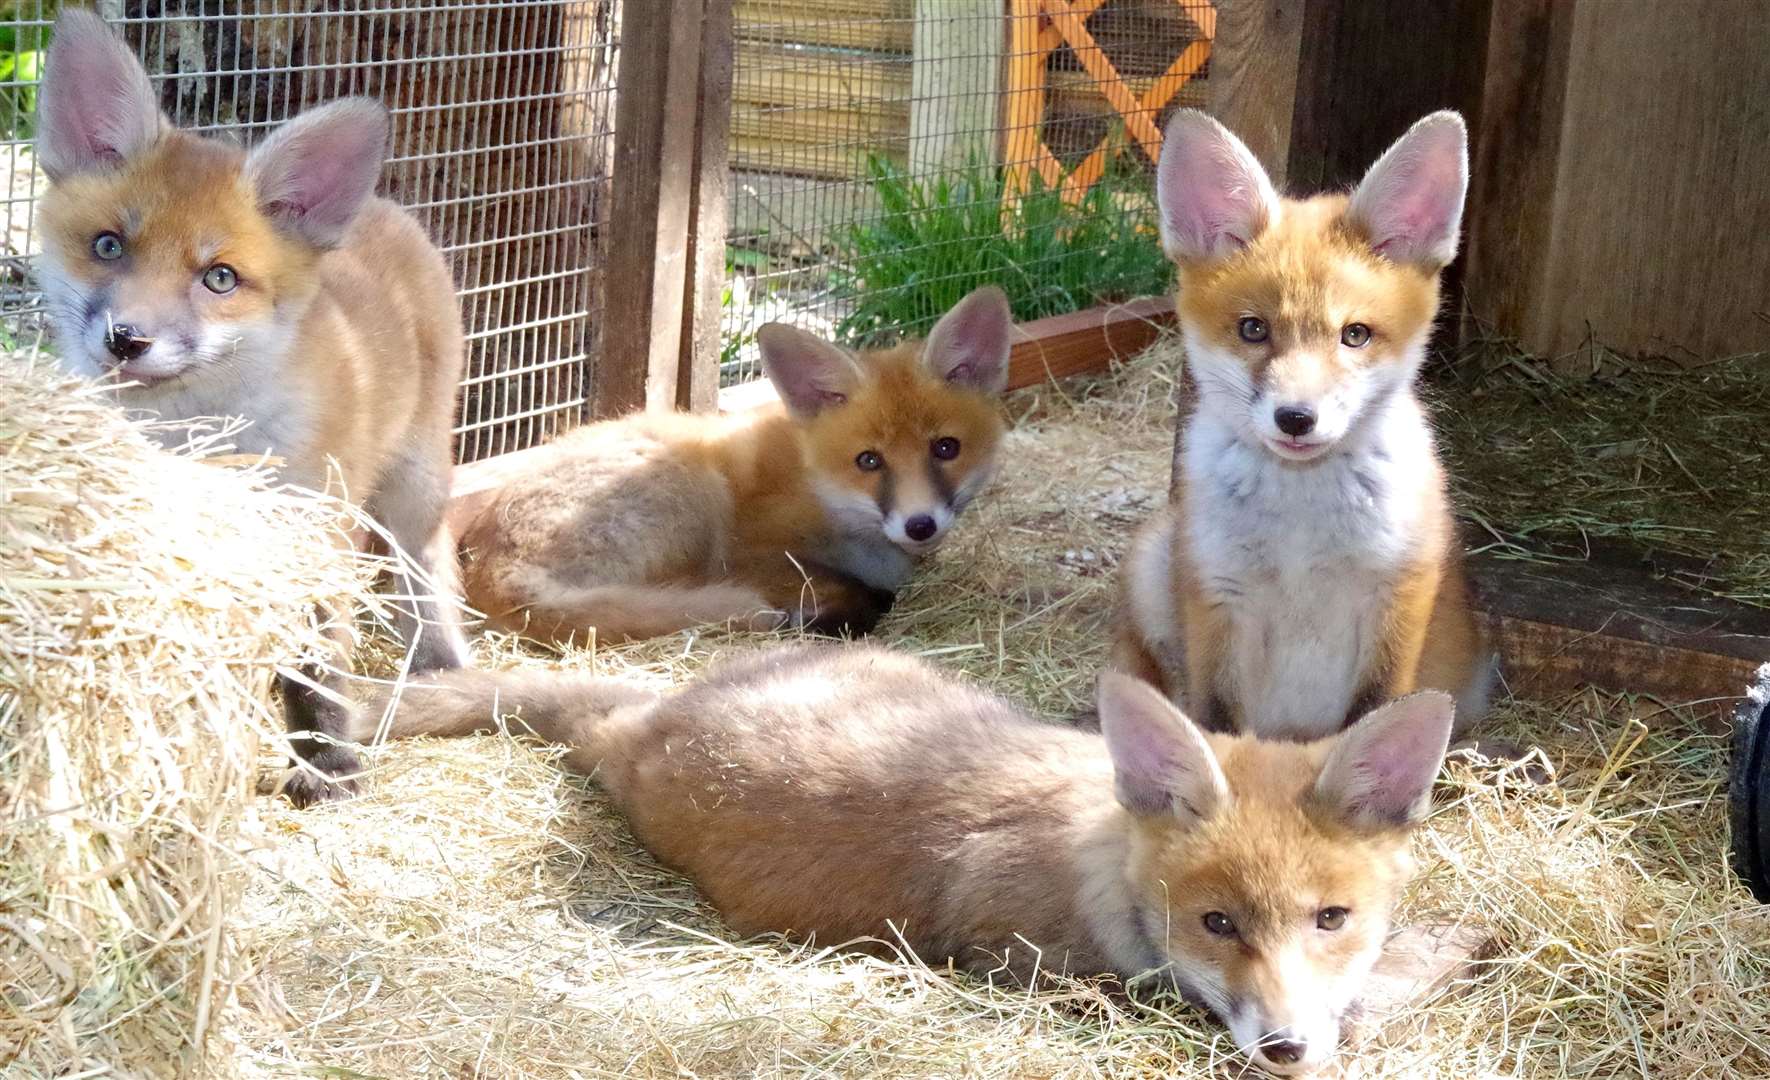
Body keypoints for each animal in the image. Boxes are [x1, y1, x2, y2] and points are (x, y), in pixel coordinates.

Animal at [40, 8, 470, 800]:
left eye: (219, 278)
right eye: (109, 246)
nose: (127, 340)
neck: (195, 434)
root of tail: (384, 207)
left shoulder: (311, 538)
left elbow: (316, 670)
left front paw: (328, 766)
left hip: (413, 487)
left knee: (427, 572)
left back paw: (440, 667)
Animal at [453, 283, 1012, 637]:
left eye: (945, 448)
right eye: (869, 460)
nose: (920, 525)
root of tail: (491, 567)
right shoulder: (752, 555)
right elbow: (862, 591)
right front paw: (833, 614)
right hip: (694, 494)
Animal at [1111, 107, 1500, 740]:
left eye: (1355, 334)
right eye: (1253, 329)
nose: (1296, 418)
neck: (1302, 527)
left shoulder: (1396, 593)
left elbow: (1374, 715)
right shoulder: (1220, 596)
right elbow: (1217, 723)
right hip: (1153, 560)